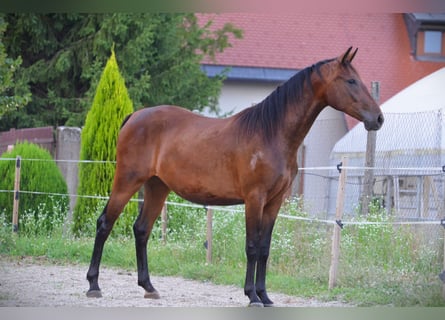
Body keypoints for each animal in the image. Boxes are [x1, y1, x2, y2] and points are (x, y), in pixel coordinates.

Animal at [86, 47, 382, 304]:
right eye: (351, 81)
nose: (378, 119)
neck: (271, 134)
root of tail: (134, 116)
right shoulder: (254, 199)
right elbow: (252, 246)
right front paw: (252, 296)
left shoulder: (274, 202)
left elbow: (265, 248)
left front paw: (265, 296)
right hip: (127, 181)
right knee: (104, 224)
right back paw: (93, 285)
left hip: (157, 187)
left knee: (141, 230)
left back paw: (148, 287)